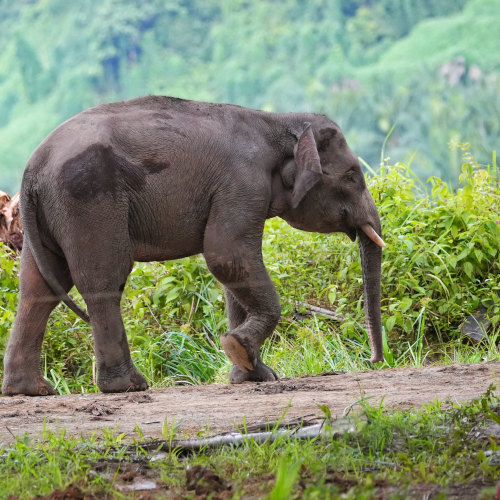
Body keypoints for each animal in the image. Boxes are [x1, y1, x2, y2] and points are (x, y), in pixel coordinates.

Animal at [0, 95, 386, 396]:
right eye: (353, 176)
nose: (374, 362)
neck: (279, 121)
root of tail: (32, 169)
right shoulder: (242, 182)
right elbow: (226, 255)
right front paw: (237, 349)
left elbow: (233, 270)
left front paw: (253, 375)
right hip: (89, 200)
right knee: (103, 280)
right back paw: (129, 386)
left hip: (50, 213)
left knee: (39, 288)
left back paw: (30, 390)